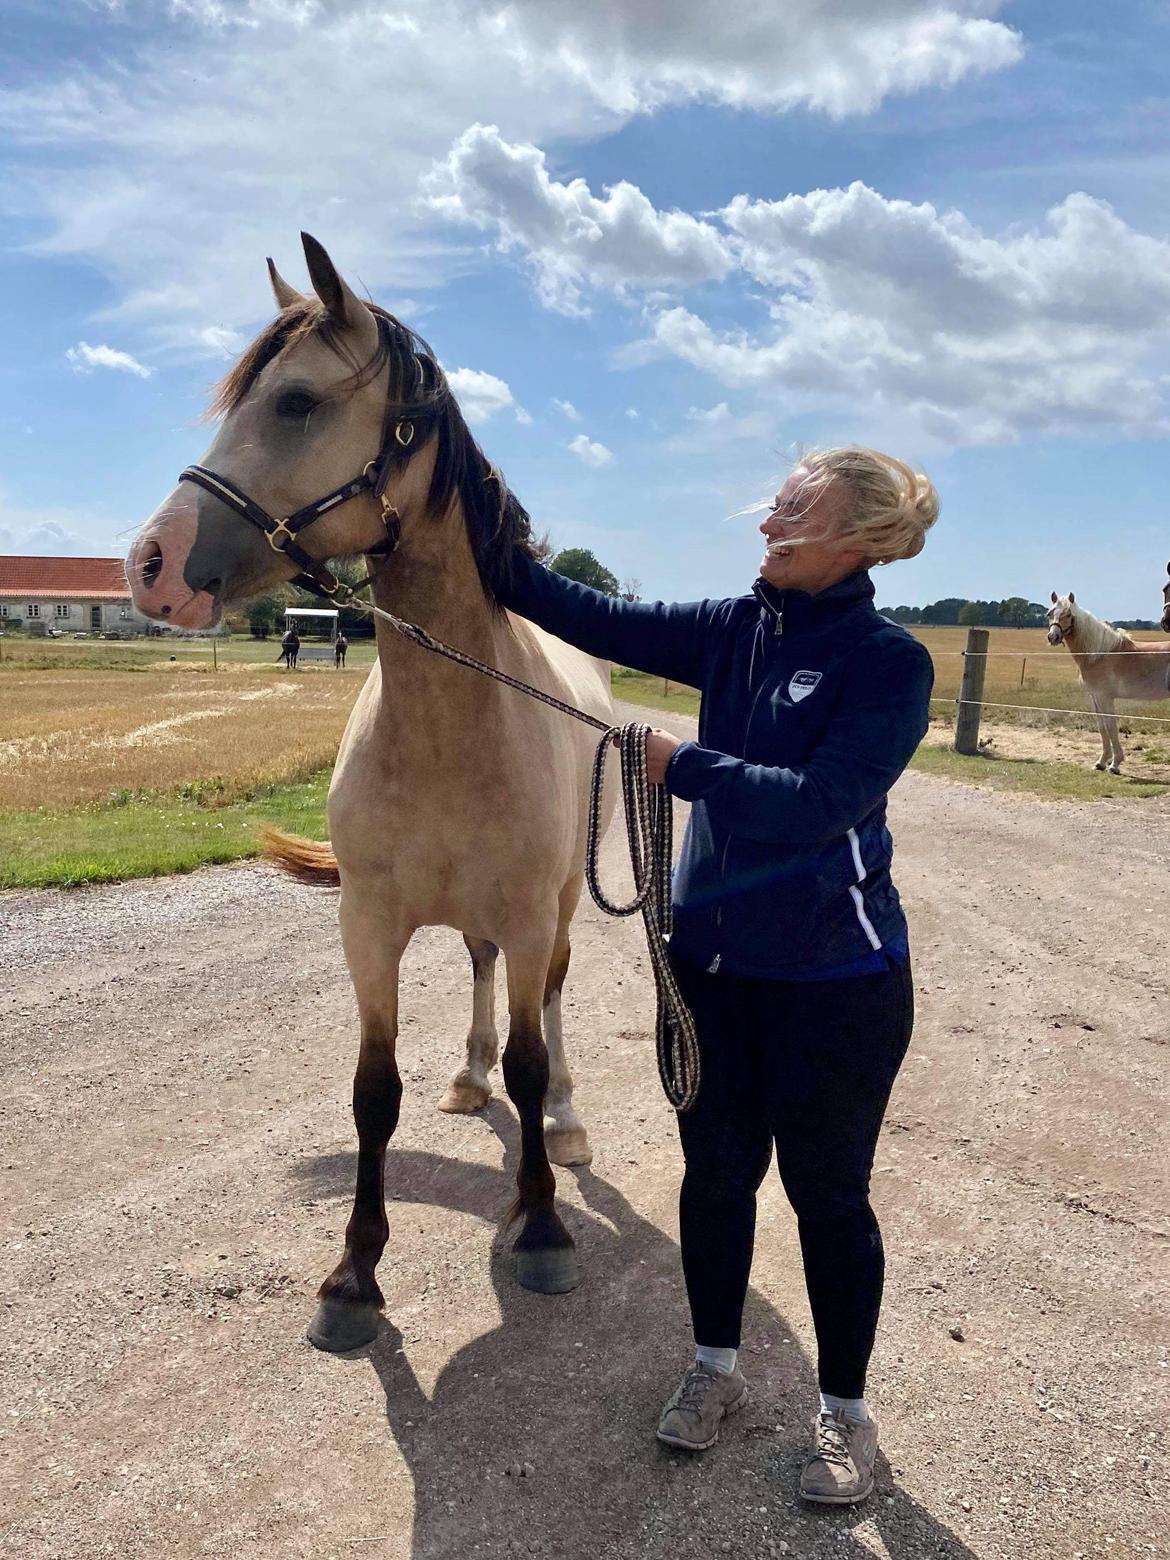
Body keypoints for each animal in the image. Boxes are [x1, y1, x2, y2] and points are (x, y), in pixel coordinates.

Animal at [126, 230, 624, 1354]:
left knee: (549, 1008)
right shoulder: (368, 924)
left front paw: (540, 1228)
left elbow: (534, 1059)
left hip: (559, 909)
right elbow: (372, 1094)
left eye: (297, 402)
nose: (150, 565)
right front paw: (353, 1274)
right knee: (481, 980)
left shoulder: (530, 912)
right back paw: (469, 1075)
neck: (449, 725)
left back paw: (566, 1126)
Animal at [1048, 589, 1166, 773]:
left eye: (1067, 614)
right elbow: (1102, 726)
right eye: (1050, 613)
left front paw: (1115, 764)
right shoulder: (1095, 697)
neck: (1098, 654)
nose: (1052, 637)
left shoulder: (1105, 697)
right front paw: (1101, 762)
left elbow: (1111, 726)